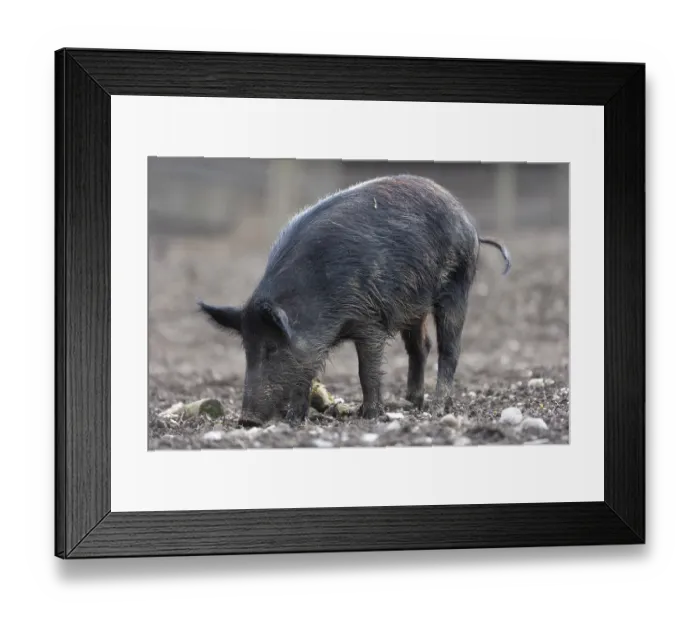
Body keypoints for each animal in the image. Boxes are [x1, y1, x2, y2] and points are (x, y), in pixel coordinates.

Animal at [198, 174, 511, 427]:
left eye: (272, 347)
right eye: (246, 349)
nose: (246, 420)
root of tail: (471, 225)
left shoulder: (370, 320)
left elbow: (366, 370)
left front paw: (369, 415)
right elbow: (305, 373)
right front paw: (295, 420)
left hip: (457, 286)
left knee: (450, 349)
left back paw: (435, 409)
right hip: (414, 305)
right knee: (420, 346)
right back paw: (410, 402)